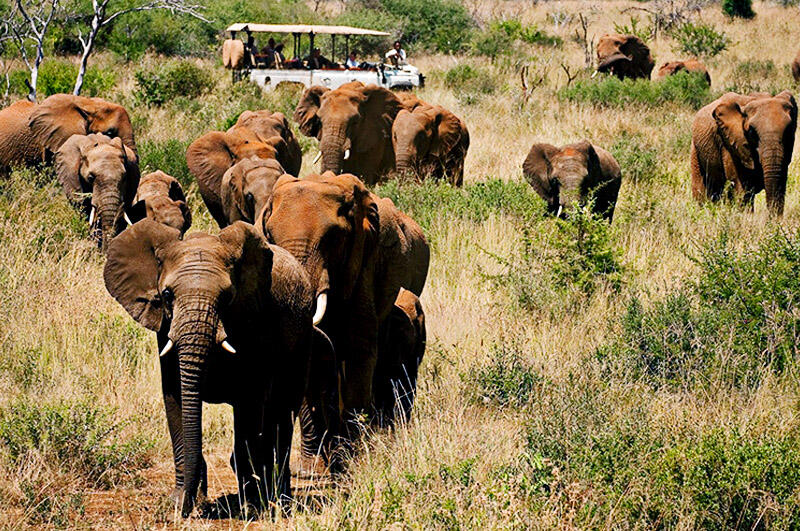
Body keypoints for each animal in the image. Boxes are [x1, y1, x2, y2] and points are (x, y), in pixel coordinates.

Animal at [105, 218, 316, 516]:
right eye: (167, 295)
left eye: (227, 297)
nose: (189, 509)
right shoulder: (166, 329)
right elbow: (176, 398)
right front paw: (180, 501)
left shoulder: (257, 325)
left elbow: (249, 404)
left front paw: (249, 508)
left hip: (303, 336)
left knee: (283, 411)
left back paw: (279, 497)